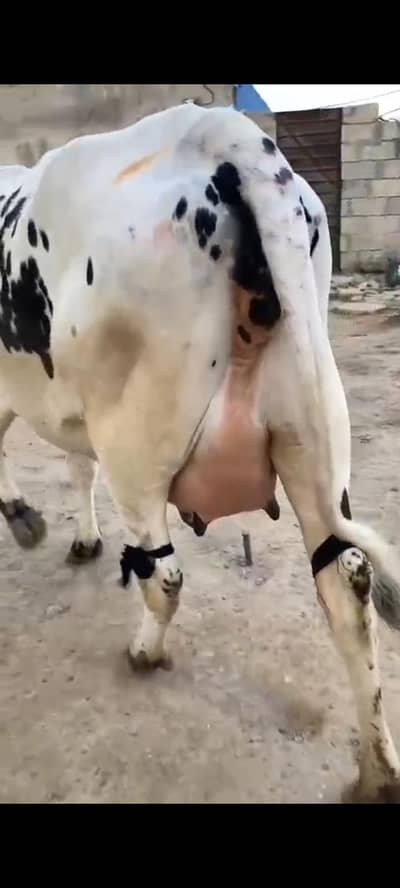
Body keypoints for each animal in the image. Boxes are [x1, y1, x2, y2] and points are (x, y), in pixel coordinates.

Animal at [0, 102, 400, 802]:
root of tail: (221, 133)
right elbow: (76, 466)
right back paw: (378, 771)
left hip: (135, 437)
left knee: (164, 575)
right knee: (346, 581)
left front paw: (28, 521)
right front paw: (80, 537)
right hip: (311, 431)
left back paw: (143, 651)